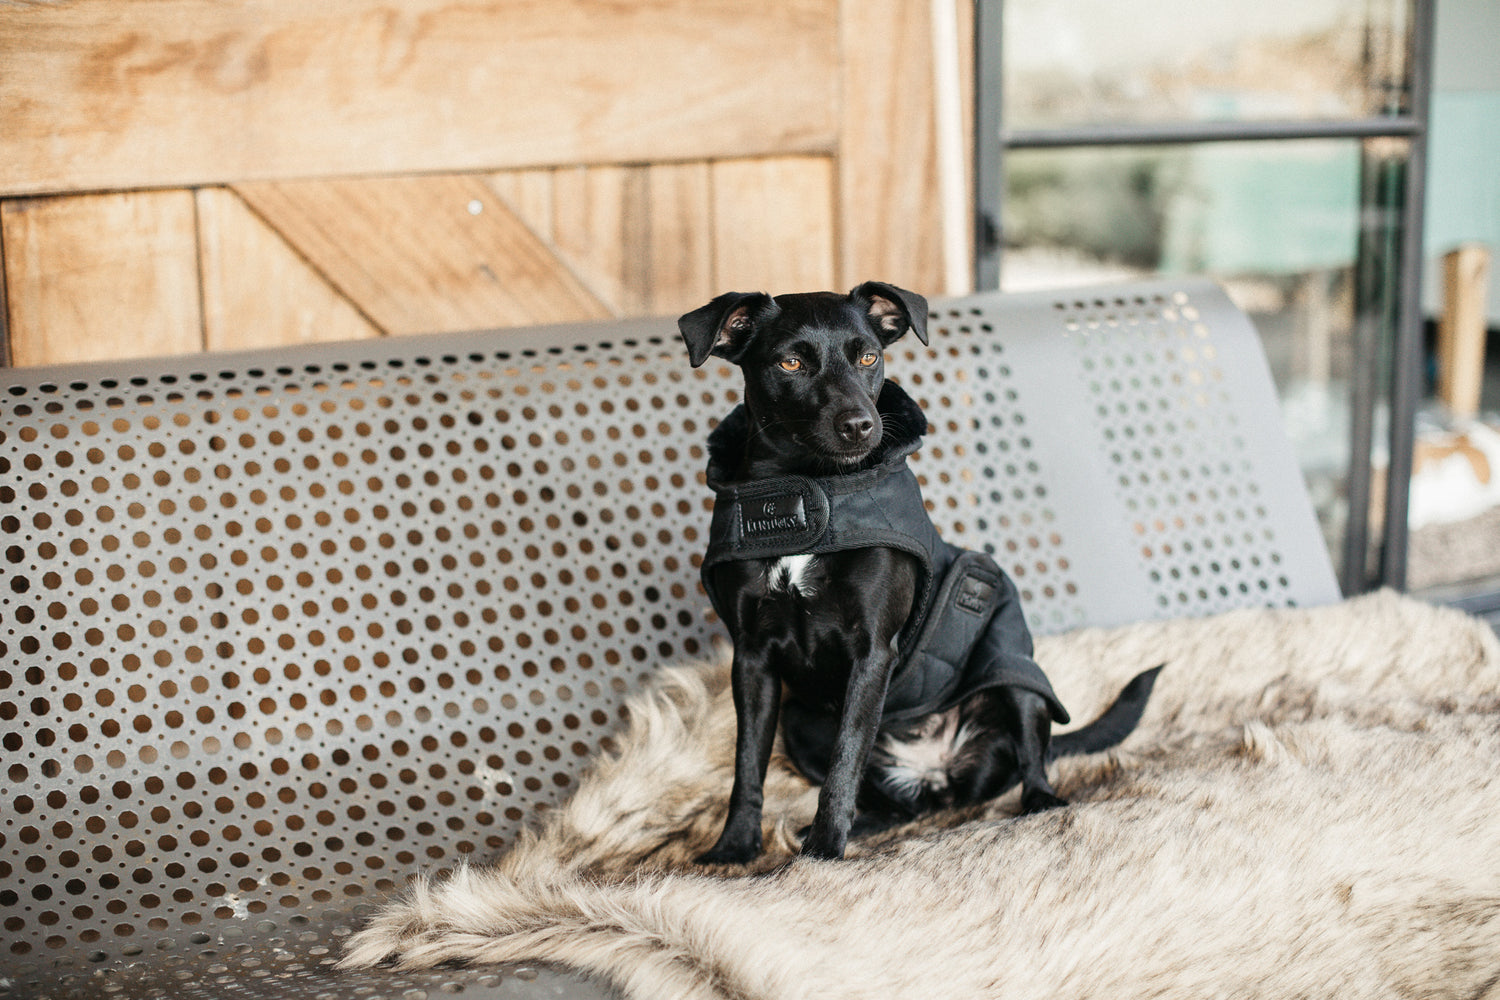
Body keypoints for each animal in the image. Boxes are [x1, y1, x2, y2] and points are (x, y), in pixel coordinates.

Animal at [681, 281, 1158, 863]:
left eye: (868, 356)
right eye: (791, 362)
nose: (860, 425)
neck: (812, 488)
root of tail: (934, 773)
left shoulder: (871, 651)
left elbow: (846, 758)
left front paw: (824, 852)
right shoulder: (752, 658)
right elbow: (748, 762)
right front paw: (736, 845)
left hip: (1013, 669)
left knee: (1032, 751)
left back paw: (1042, 801)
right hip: (800, 720)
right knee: (894, 805)